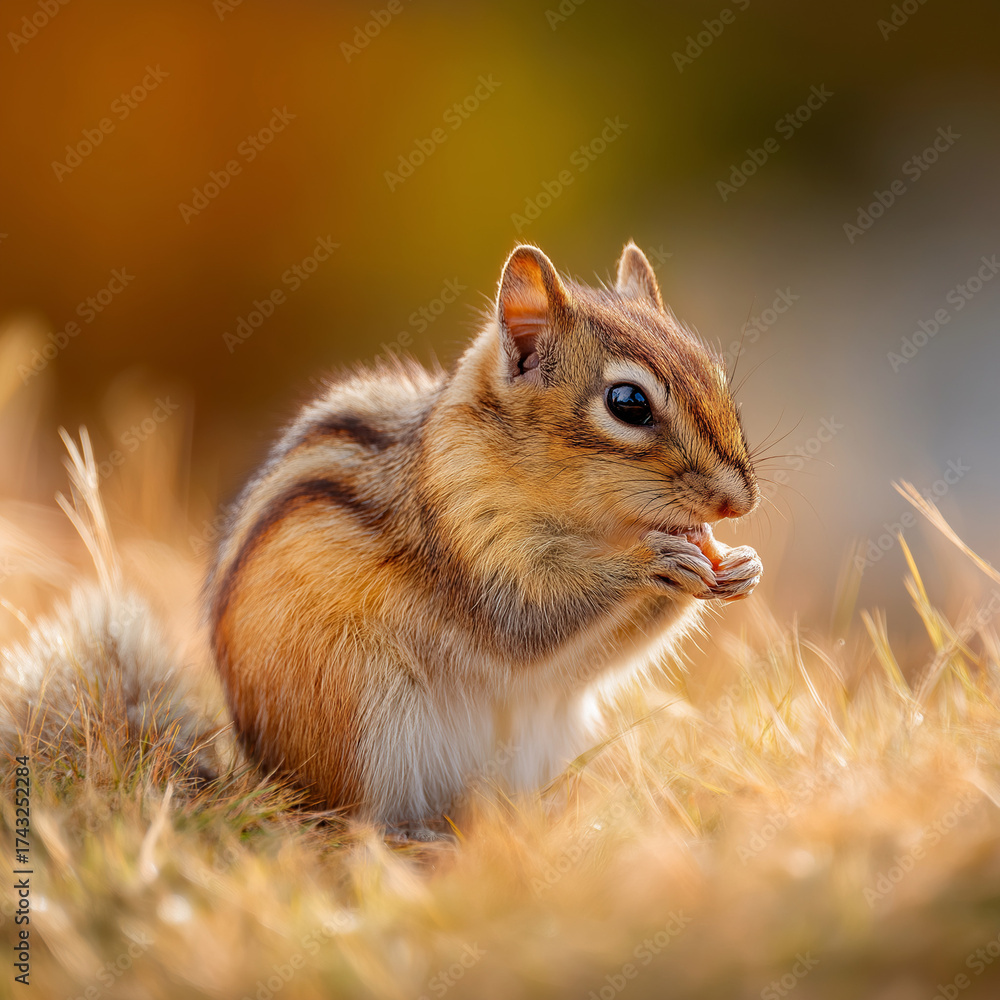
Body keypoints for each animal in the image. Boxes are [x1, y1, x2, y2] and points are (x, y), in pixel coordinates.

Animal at [206, 242, 762, 830]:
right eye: (628, 401)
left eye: (714, 373)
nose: (740, 502)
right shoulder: (464, 540)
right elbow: (526, 617)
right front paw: (651, 561)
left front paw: (742, 565)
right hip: (358, 709)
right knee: (353, 820)